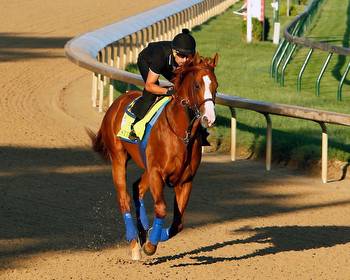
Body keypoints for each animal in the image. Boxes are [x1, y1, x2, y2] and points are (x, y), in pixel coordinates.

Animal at [89, 53, 217, 260]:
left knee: (137, 188)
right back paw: (134, 243)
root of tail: (117, 103)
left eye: (216, 85)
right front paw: (150, 245)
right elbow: (161, 209)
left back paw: (142, 233)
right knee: (123, 198)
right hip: (118, 158)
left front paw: (153, 237)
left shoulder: (185, 180)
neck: (181, 133)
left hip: (146, 167)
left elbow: (178, 223)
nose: (209, 118)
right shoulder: (157, 173)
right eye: (197, 85)